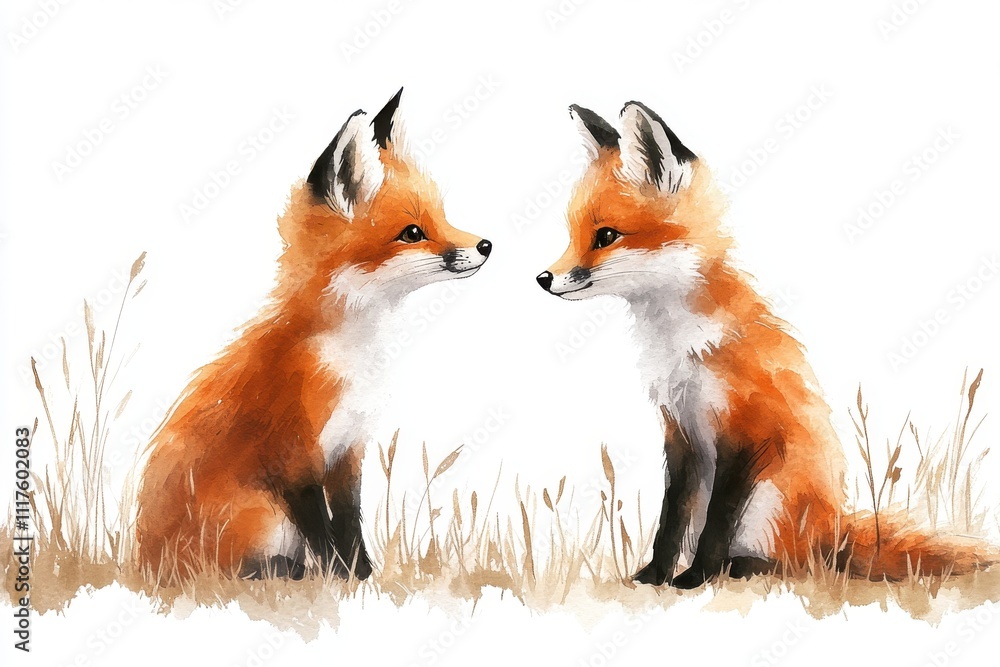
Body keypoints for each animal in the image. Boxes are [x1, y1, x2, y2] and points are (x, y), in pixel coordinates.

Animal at [136, 89, 492, 582]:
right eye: (412, 232)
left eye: (444, 216)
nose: (485, 246)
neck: (351, 358)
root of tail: (141, 562)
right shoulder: (295, 459)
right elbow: (323, 536)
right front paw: (338, 580)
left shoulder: (347, 453)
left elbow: (350, 525)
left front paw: (364, 579)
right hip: (257, 516)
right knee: (248, 571)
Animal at [537, 101, 995, 588]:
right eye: (571, 236)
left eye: (606, 236)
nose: (544, 279)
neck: (681, 347)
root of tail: (833, 529)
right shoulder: (680, 433)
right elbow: (669, 521)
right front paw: (653, 576)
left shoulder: (747, 432)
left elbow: (718, 522)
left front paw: (695, 577)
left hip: (771, 503)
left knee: (793, 562)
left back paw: (742, 567)